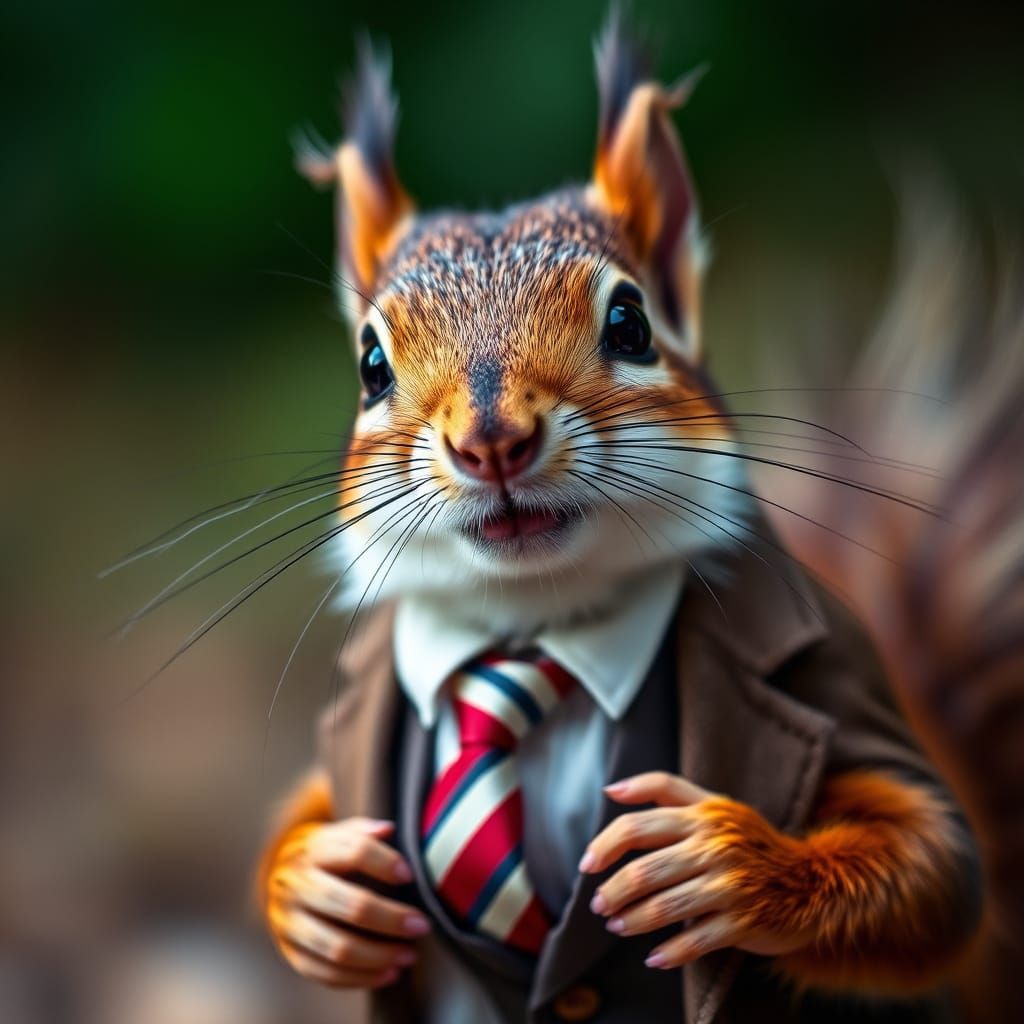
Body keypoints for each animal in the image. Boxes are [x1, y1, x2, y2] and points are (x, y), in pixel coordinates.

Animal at [255, 11, 998, 1024]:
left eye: (631, 323)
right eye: (370, 365)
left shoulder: (839, 687)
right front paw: (310, 882)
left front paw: (718, 862)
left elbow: (939, 868)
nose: (492, 442)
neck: (536, 623)